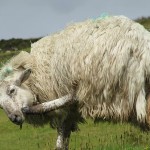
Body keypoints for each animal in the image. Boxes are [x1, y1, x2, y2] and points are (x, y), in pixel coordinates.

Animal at [0, 15, 150, 149]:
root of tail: (142, 46)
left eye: (12, 90)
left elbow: (60, 141)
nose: (14, 118)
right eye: (1, 106)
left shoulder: (64, 109)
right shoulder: (70, 112)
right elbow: (63, 141)